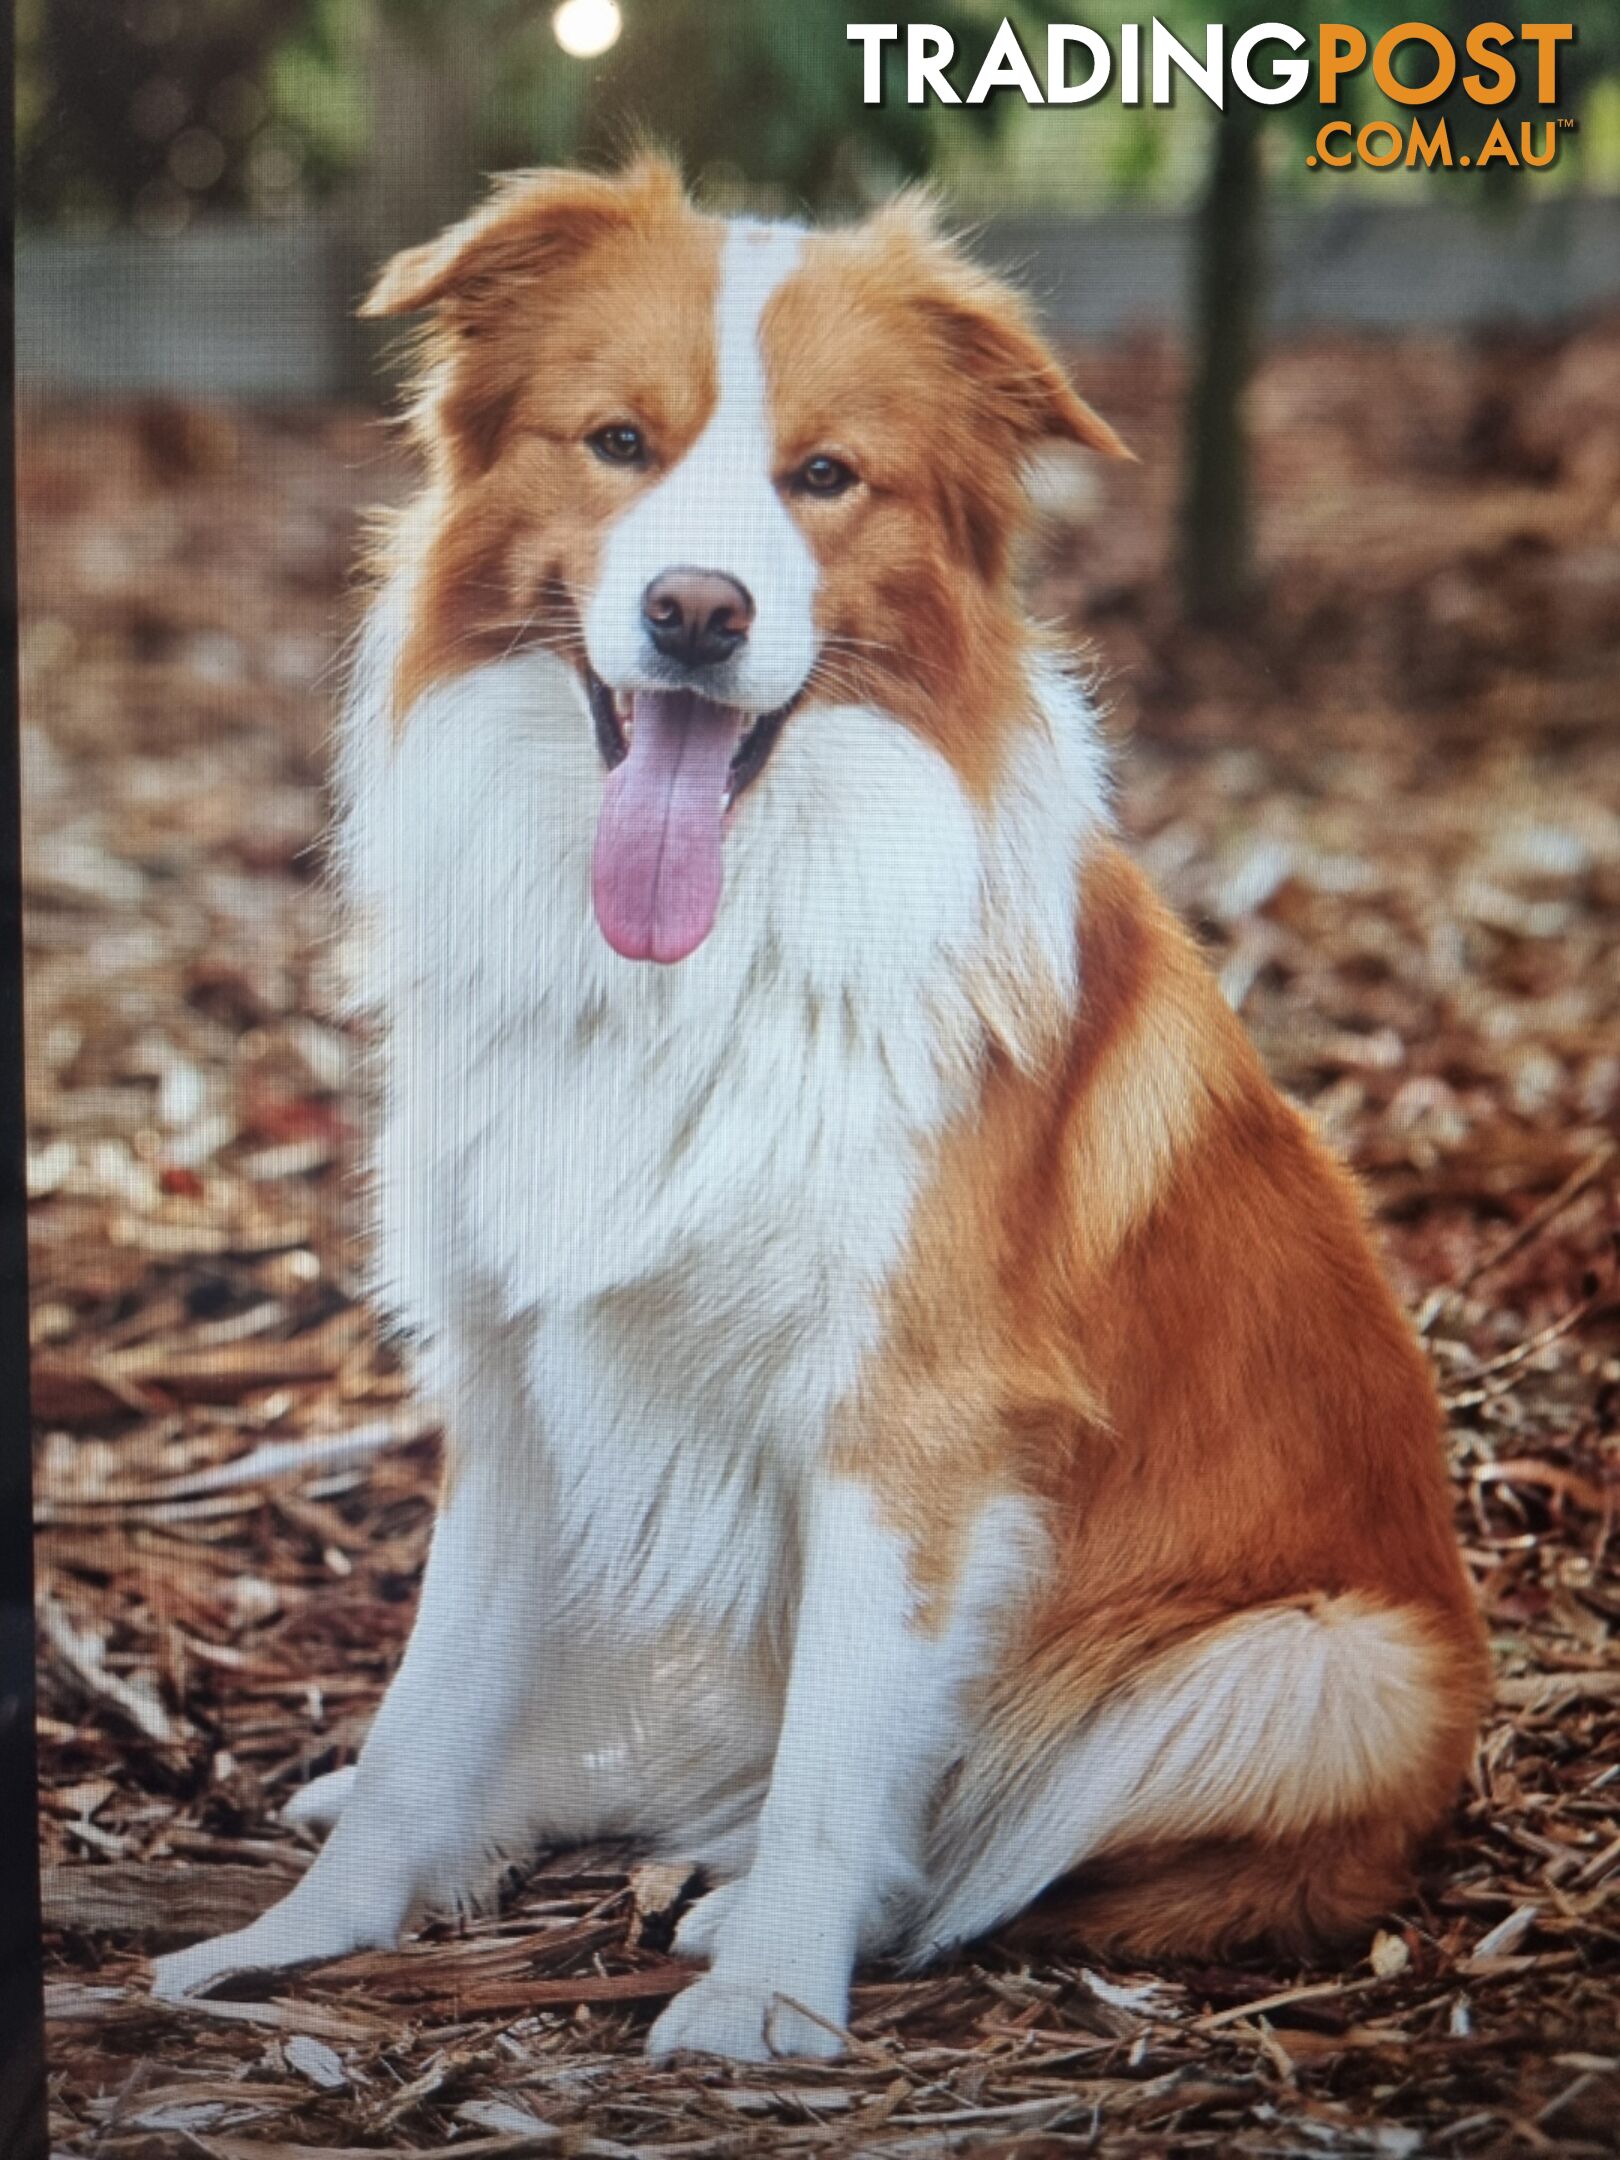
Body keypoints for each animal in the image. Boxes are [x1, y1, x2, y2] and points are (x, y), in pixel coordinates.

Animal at [152, 156, 1486, 2056]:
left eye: (828, 475)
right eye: (618, 441)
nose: (696, 611)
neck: (704, 957)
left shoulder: (908, 1421)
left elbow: (842, 1756)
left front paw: (773, 1987)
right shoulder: (521, 1375)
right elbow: (430, 1704)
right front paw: (299, 1936)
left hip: (1320, 1666)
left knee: (994, 1834)